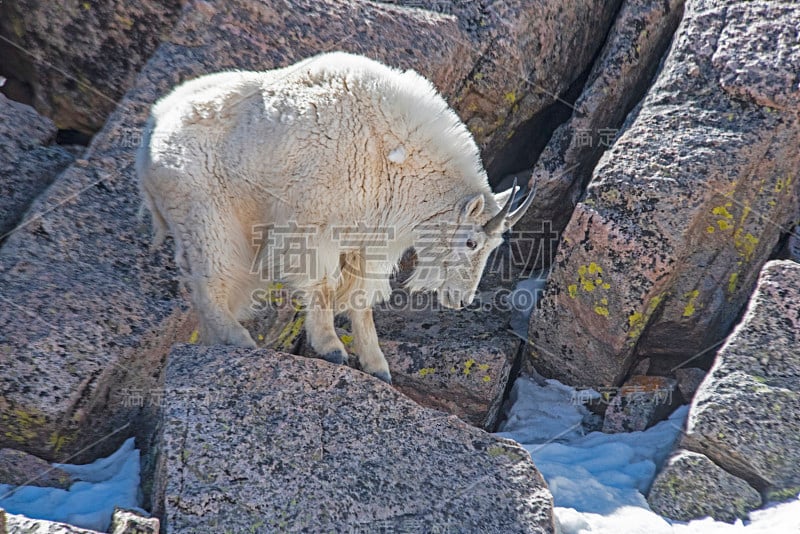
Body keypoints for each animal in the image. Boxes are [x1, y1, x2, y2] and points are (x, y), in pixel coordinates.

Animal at [138, 52, 536, 384]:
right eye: (471, 242)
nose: (461, 299)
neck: (394, 154)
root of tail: (149, 139)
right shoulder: (315, 225)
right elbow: (323, 285)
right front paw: (331, 347)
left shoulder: (369, 242)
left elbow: (361, 301)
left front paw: (378, 366)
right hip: (208, 215)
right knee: (210, 282)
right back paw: (239, 340)